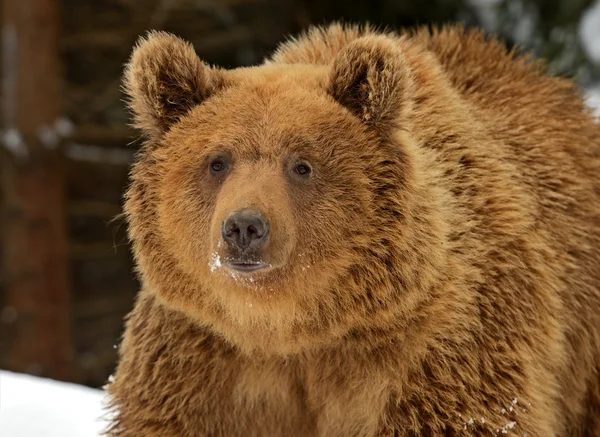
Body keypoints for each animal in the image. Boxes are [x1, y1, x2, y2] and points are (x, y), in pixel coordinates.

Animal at [105, 23, 600, 436]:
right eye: (217, 160)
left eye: (302, 164)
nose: (244, 226)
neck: (297, 328)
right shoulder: (201, 354)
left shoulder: (437, 347)